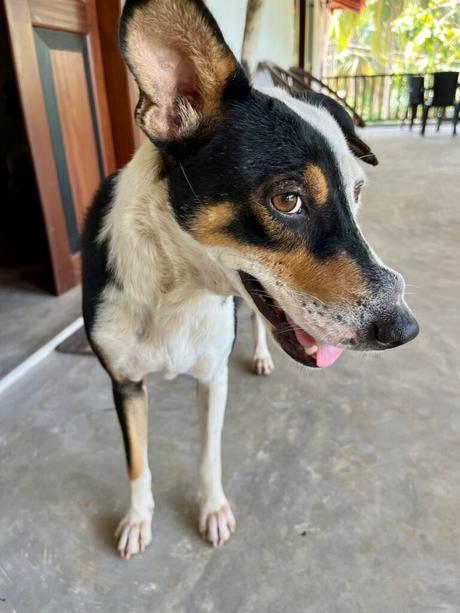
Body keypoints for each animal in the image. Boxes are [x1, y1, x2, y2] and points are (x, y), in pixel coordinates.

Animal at [81, 0, 418, 556]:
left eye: (357, 192)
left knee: (258, 322)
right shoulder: (124, 383)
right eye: (288, 200)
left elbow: (209, 453)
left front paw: (212, 509)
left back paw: (260, 354)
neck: (175, 292)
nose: (405, 329)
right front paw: (137, 519)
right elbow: (137, 461)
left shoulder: (212, 377)